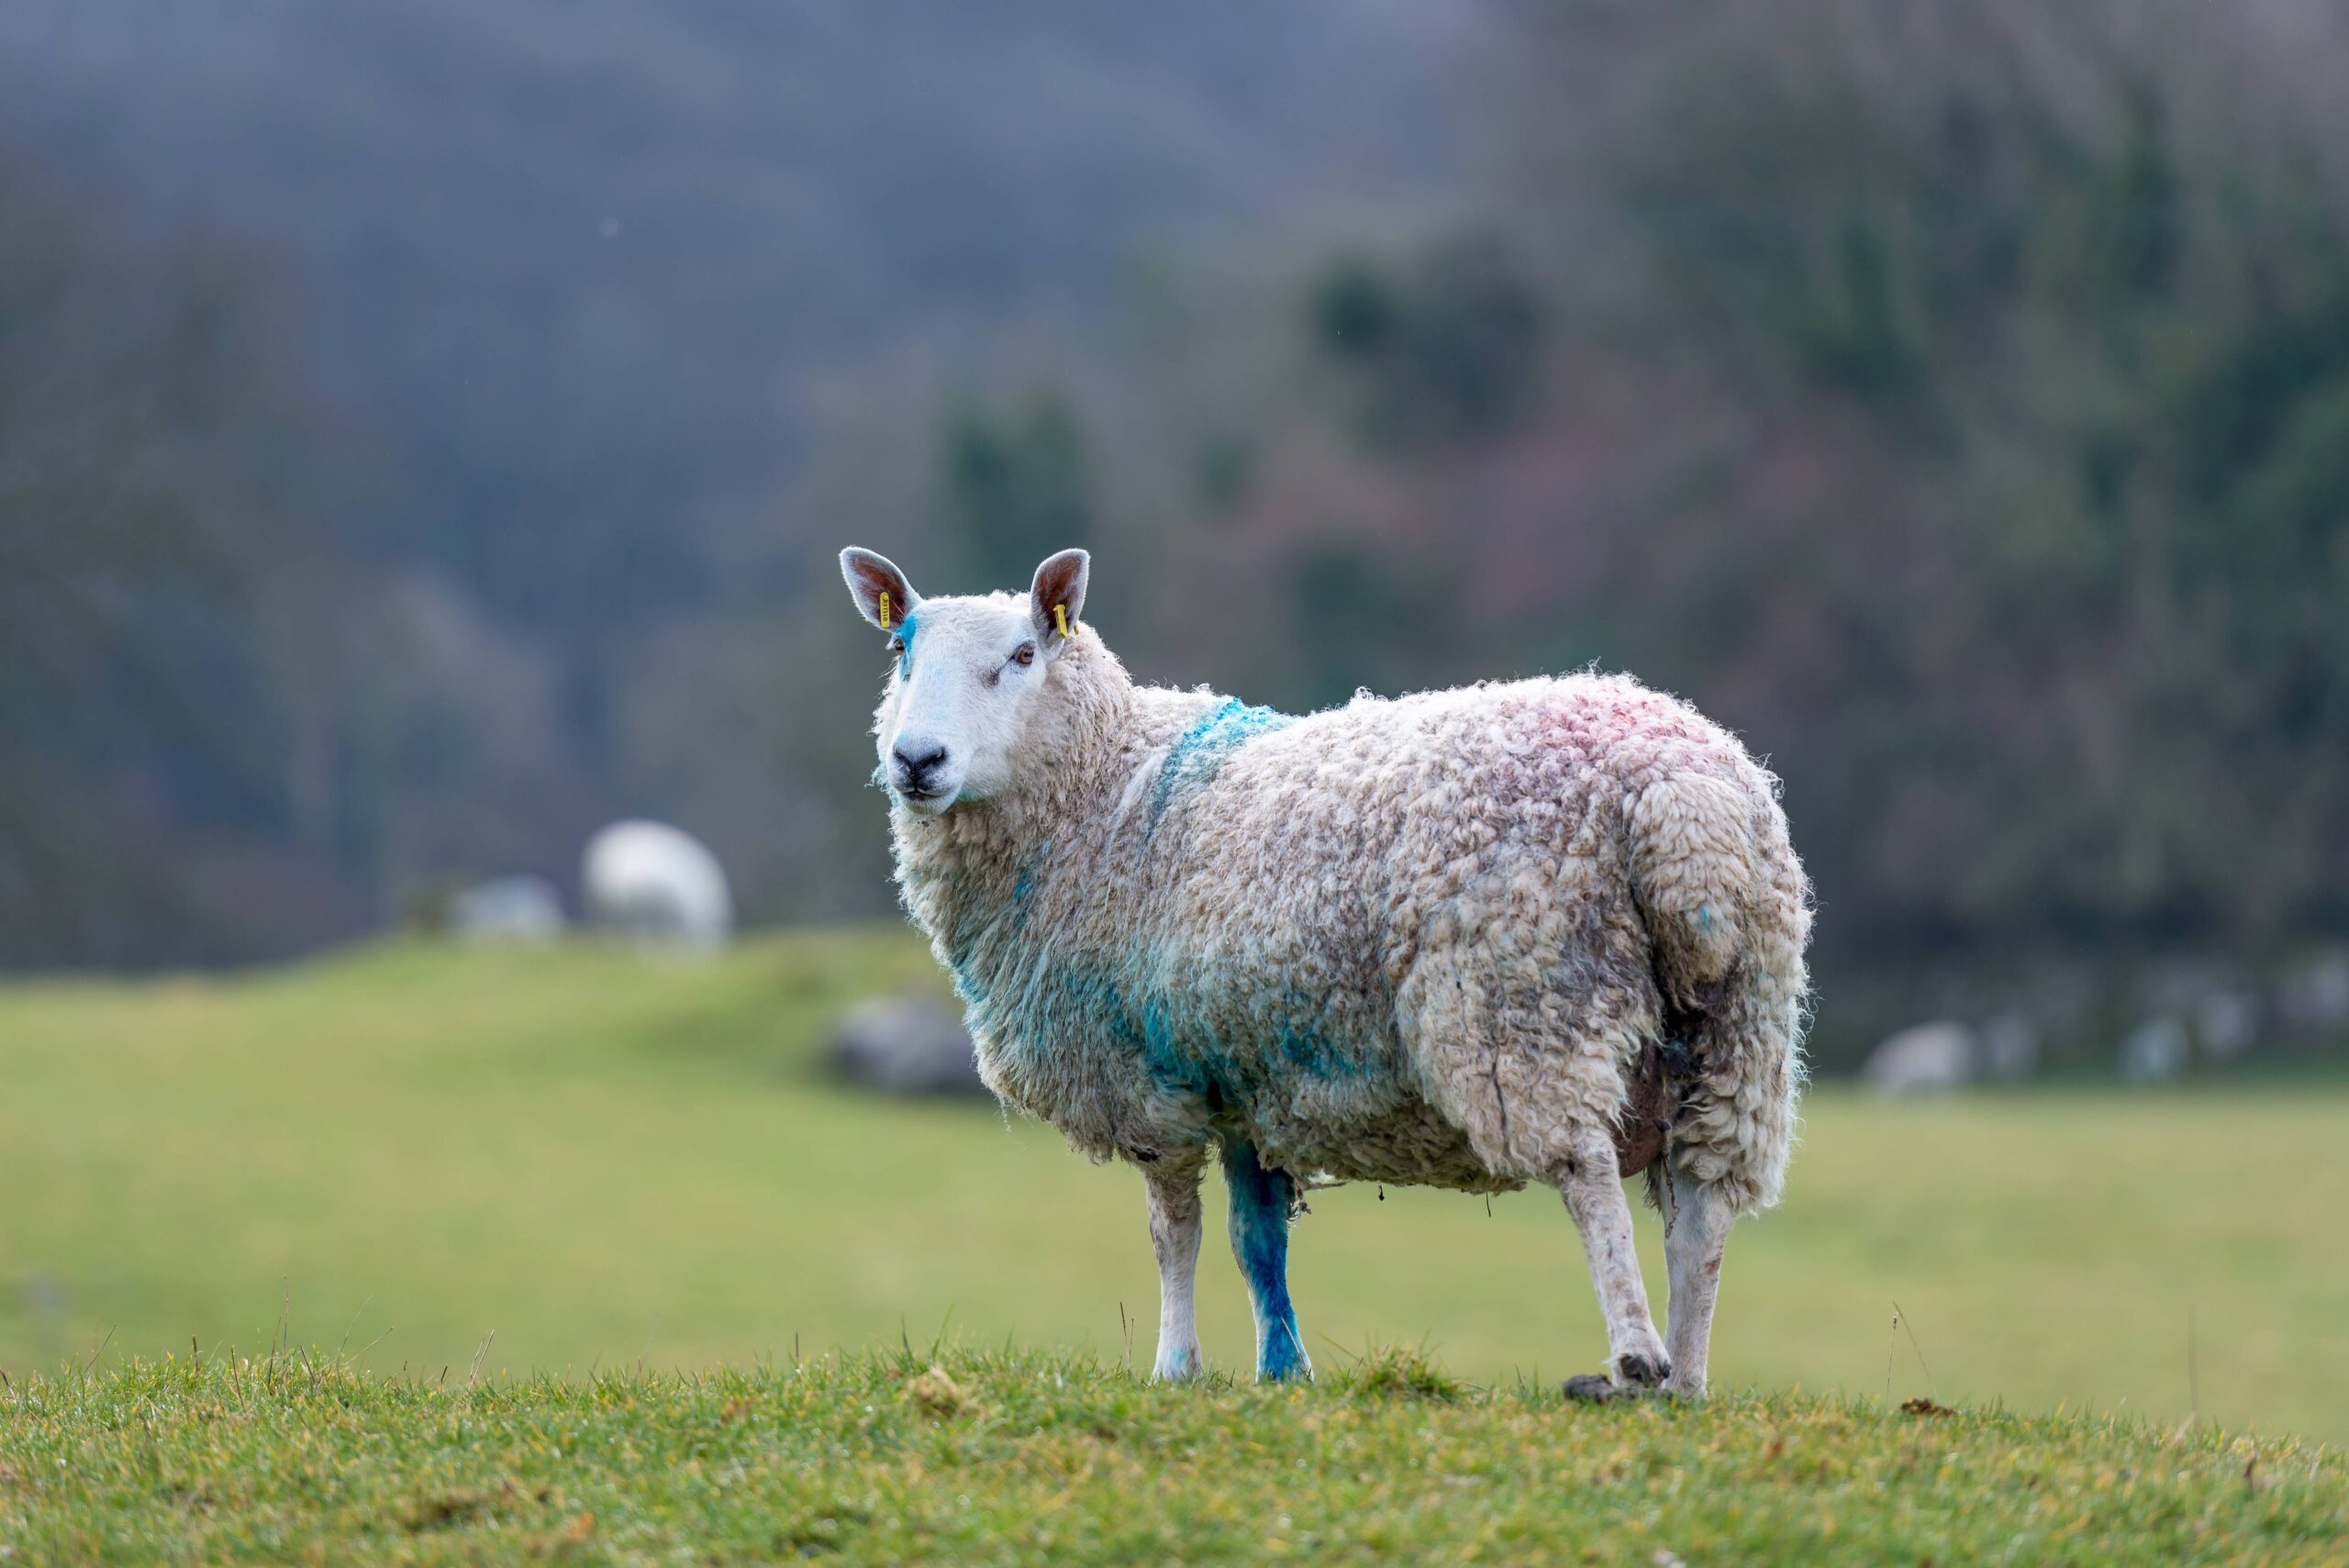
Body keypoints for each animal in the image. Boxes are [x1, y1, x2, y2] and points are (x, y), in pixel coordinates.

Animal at [845, 549, 1813, 1398]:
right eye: (900, 651)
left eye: (1021, 654)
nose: (917, 760)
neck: (1102, 783)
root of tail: (1681, 799)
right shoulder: (1238, 1070)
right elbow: (1256, 1239)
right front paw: (1283, 1369)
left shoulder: (1150, 1075)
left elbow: (1173, 1230)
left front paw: (1175, 1366)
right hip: (1737, 1027)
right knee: (1702, 1211)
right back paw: (1687, 1381)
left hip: (1526, 998)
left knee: (1588, 1173)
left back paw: (1638, 1356)